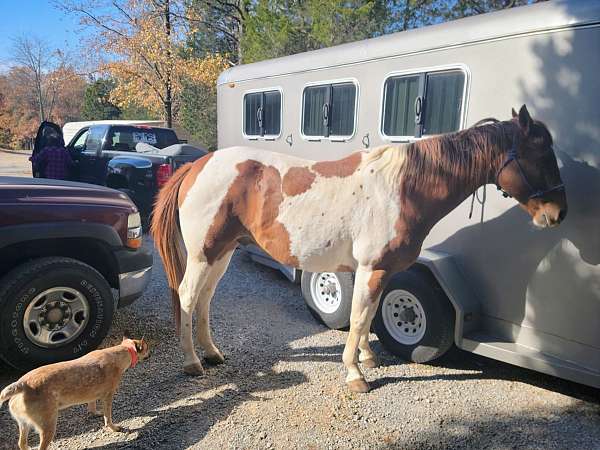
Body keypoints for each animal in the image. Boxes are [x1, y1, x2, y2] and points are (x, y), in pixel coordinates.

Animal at [0, 334, 149, 450]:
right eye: (147, 348)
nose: (151, 353)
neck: (122, 351)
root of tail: (22, 384)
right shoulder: (108, 395)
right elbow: (108, 416)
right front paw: (113, 427)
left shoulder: (93, 395)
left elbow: (92, 405)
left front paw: (95, 413)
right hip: (48, 425)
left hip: (24, 424)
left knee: (22, 443)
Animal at [151, 104, 568, 390]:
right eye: (540, 154)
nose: (558, 212)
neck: (404, 188)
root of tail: (198, 165)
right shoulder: (373, 268)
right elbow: (357, 318)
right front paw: (355, 374)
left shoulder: (378, 271)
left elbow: (365, 318)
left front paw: (368, 358)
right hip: (204, 254)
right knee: (187, 297)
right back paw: (192, 362)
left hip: (222, 253)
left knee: (205, 299)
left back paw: (212, 353)